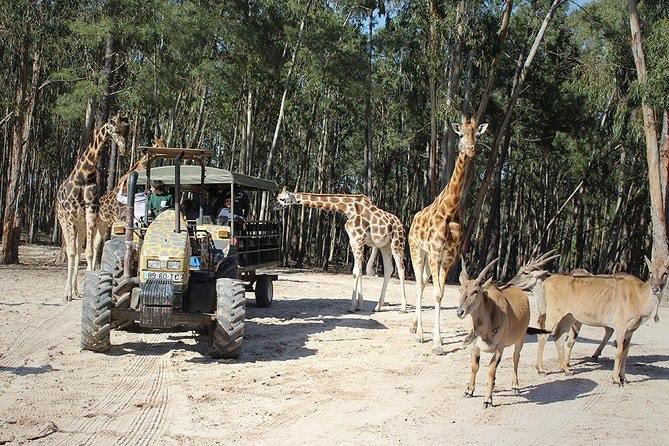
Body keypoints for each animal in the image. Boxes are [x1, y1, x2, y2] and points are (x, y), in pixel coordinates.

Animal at [56, 113, 129, 302]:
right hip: (63, 221)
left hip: (80, 224)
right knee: (71, 249)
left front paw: (90, 286)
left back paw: (76, 290)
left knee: (78, 248)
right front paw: (67, 294)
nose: (124, 150)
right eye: (116, 130)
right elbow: (72, 252)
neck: (84, 175)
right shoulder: (71, 216)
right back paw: (69, 291)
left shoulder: (91, 213)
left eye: (128, 130)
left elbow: (88, 252)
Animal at [272, 190, 408, 312]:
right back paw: (378, 306)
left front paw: (352, 307)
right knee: (389, 269)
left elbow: (355, 271)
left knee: (401, 269)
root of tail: (401, 225)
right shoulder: (353, 240)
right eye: (278, 197)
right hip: (385, 246)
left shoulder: (358, 239)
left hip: (397, 243)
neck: (347, 208)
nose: (273, 207)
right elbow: (359, 270)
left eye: (282, 199)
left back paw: (403, 307)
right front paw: (359, 305)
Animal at [404, 116, 488, 354]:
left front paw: (436, 340)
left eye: (477, 134)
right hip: (417, 251)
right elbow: (437, 294)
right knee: (419, 284)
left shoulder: (449, 256)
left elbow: (440, 292)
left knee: (423, 282)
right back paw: (419, 333)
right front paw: (436, 342)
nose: (471, 149)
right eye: (460, 134)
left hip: (429, 257)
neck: (450, 210)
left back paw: (414, 326)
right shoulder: (434, 252)